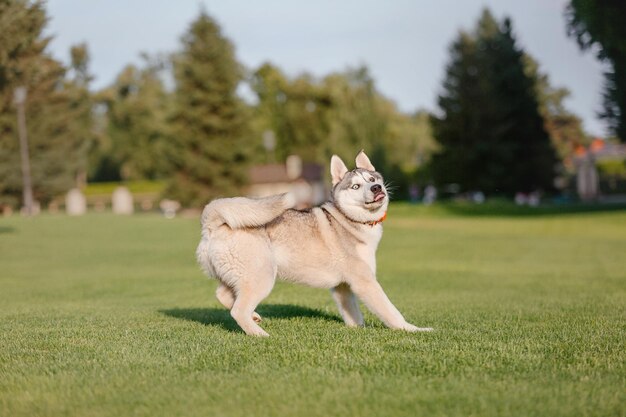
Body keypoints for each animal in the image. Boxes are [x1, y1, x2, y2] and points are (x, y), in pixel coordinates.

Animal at [195, 150, 428, 334]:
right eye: (355, 186)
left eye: (372, 179)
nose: (377, 188)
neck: (350, 221)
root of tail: (214, 223)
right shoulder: (365, 282)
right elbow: (390, 311)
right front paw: (413, 329)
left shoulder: (343, 287)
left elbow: (354, 315)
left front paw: (358, 330)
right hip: (261, 276)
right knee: (238, 310)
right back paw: (260, 334)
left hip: (240, 276)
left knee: (223, 295)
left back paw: (255, 317)